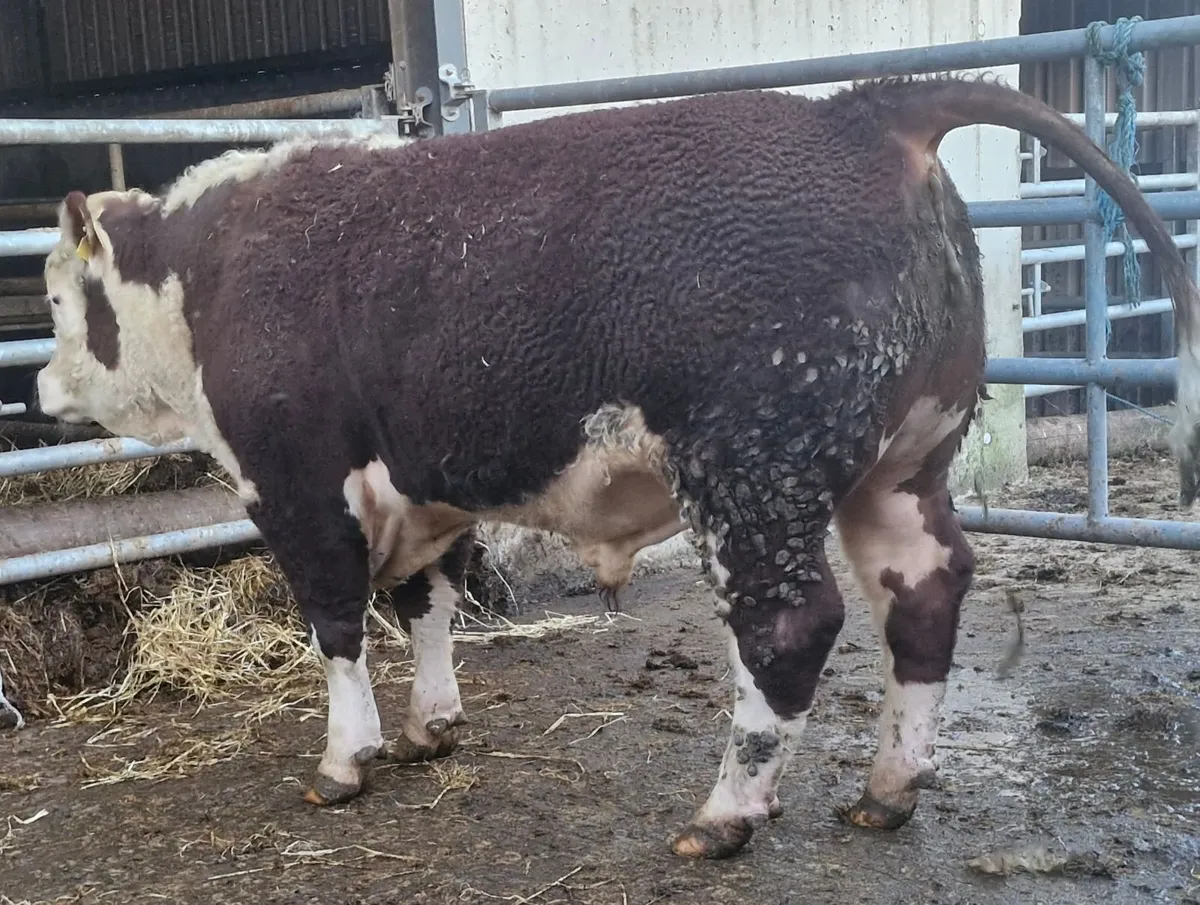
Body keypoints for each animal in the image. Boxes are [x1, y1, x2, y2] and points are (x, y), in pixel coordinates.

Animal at [34, 75, 1200, 860]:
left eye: (50, 296)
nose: (37, 387)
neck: (206, 272)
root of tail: (862, 110)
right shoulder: (422, 484)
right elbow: (427, 605)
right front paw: (430, 726)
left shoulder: (294, 478)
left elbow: (334, 623)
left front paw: (344, 758)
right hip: (902, 466)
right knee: (924, 591)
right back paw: (889, 786)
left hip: (752, 471)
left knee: (790, 623)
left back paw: (725, 814)